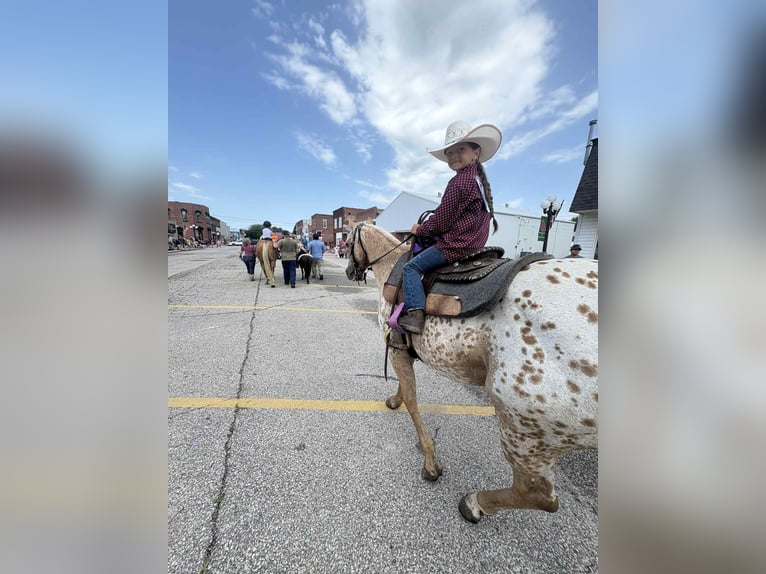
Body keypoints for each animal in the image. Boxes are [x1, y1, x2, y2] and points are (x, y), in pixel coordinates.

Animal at [345, 222, 598, 523]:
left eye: (347, 242)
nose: (349, 271)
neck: (392, 265)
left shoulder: (396, 349)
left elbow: (412, 400)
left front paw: (431, 463)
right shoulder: (404, 351)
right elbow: (405, 391)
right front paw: (394, 400)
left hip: (526, 429)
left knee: (536, 494)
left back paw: (473, 503)